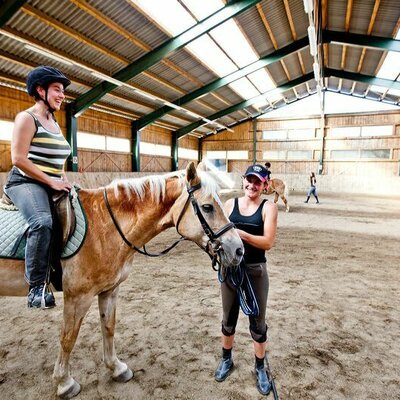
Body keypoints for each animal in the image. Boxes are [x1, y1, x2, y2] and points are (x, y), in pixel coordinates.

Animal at [0, 162, 244, 396]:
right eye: (207, 207)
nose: (238, 250)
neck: (104, 226)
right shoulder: (77, 297)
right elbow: (68, 338)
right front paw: (64, 383)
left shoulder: (109, 290)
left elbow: (108, 327)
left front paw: (116, 368)